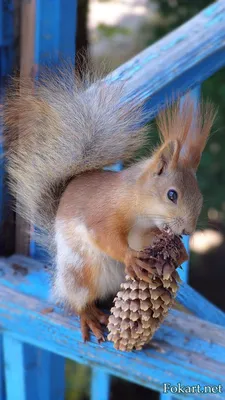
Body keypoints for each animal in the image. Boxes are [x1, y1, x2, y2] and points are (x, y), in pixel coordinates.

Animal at [3, 65, 214, 340]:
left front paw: (179, 251)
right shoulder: (102, 212)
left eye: (199, 196)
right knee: (77, 301)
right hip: (79, 275)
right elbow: (104, 236)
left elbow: (147, 240)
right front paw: (130, 257)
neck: (139, 207)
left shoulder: (144, 231)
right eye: (172, 195)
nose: (188, 230)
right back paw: (89, 316)